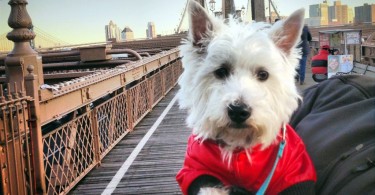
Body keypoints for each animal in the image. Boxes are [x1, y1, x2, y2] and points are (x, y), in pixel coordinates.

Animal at [178, 0, 318, 194]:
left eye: (263, 74)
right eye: (221, 71)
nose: (238, 111)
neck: (239, 144)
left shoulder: (295, 169)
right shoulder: (196, 168)